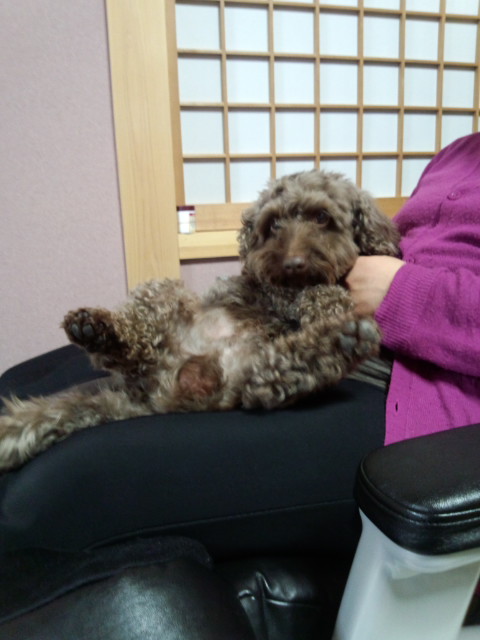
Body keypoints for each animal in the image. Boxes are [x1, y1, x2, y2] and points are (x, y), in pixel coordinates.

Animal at [0, 170, 400, 471]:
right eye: (273, 225)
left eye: (321, 218)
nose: (292, 264)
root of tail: (164, 390)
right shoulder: (276, 288)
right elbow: (309, 292)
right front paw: (322, 299)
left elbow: (320, 293)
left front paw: (328, 303)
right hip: (162, 294)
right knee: (133, 341)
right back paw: (97, 329)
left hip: (255, 370)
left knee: (274, 376)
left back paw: (342, 339)